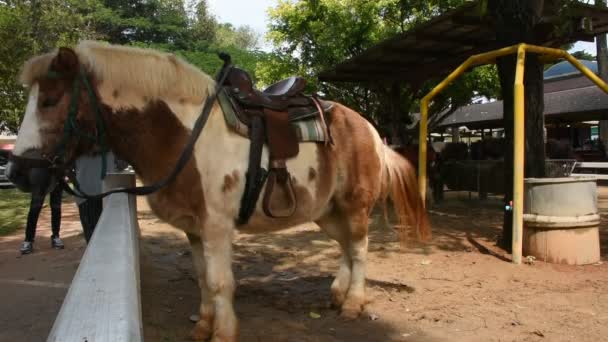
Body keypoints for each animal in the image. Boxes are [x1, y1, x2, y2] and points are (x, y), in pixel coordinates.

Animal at [7, 41, 430, 340]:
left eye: (50, 100)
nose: (19, 173)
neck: (182, 135)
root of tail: (370, 129)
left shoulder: (216, 226)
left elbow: (219, 281)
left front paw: (223, 333)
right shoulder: (193, 229)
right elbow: (201, 278)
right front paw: (202, 327)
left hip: (355, 206)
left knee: (359, 249)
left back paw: (353, 304)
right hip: (325, 210)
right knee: (344, 246)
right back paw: (338, 293)